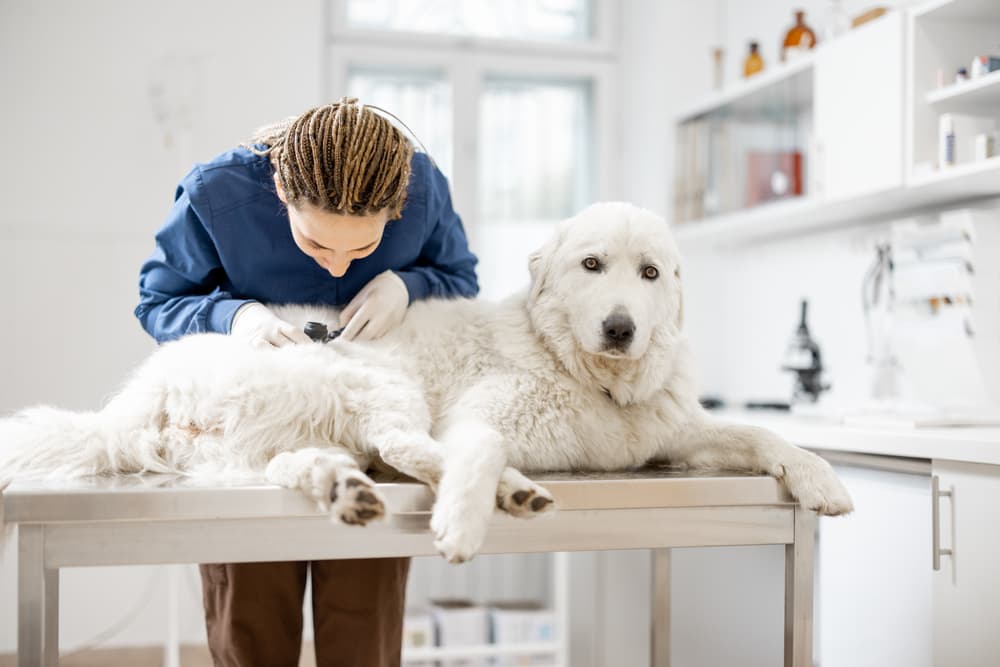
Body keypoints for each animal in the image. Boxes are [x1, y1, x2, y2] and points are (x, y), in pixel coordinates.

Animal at [0, 204, 852, 564]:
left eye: (650, 274)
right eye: (592, 266)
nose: (620, 327)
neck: (588, 373)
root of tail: (135, 401)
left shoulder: (675, 434)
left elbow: (763, 431)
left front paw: (823, 479)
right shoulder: (481, 413)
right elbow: (469, 448)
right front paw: (465, 521)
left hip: (256, 447)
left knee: (306, 463)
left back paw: (344, 488)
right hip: (376, 376)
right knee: (405, 445)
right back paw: (507, 490)